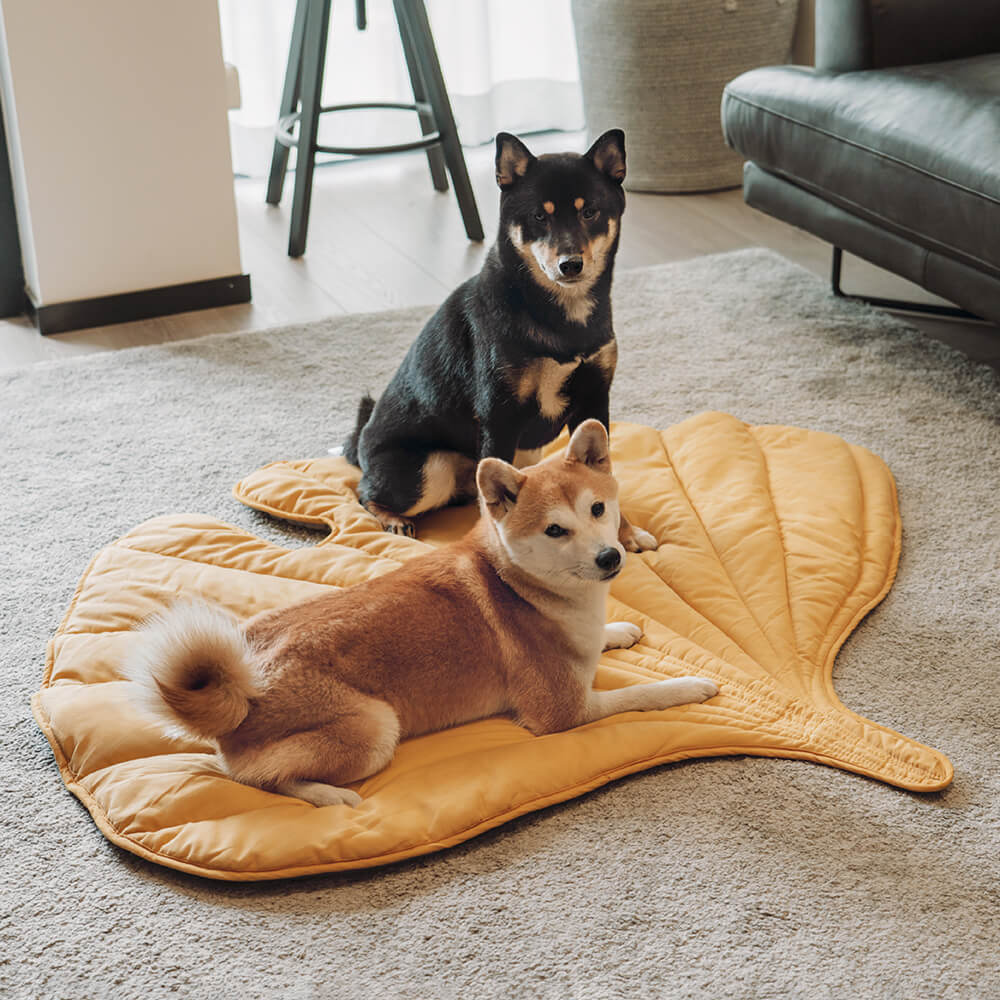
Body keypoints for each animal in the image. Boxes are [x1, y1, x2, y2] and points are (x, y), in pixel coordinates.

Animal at [127, 420, 720, 804]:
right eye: (555, 529)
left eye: (598, 509)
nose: (610, 557)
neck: (523, 586)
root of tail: (239, 692)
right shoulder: (563, 713)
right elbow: (643, 695)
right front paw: (689, 686)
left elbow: (604, 638)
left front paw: (618, 630)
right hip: (374, 728)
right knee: (254, 778)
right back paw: (328, 796)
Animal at [344, 127, 656, 556]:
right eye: (539, 216)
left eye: (589, 212)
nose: (570, 264)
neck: (560, 316)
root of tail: (361, 441)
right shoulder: (499, 414)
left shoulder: (595, 397)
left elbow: (603, 479)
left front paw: (626, 531)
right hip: (429, 471)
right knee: (364, 492)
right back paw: (394, 519)